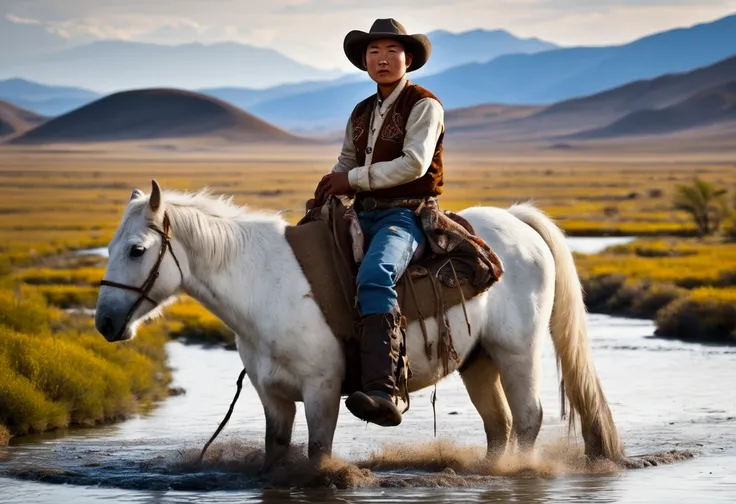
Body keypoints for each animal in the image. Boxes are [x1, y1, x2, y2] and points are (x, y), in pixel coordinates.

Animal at [96, 179, 628, 470]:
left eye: (137, 250)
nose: (104, 321)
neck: (262, 283)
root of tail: (518, 222)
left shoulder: (322, 389)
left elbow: (319, 453)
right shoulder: (273, 396)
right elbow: (276, 453)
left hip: (517, 352)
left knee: (528, 417)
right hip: (478, 361)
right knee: (499, 424)